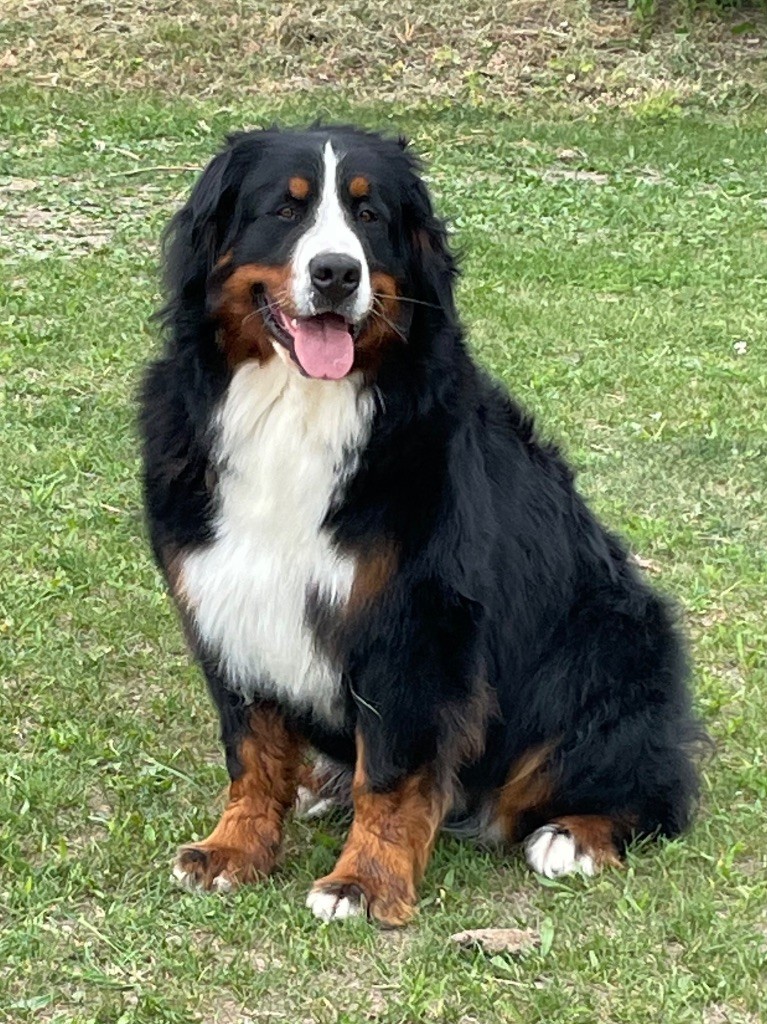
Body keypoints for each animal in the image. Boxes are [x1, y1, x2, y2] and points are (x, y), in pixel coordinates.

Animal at [140, 123, 704, 925]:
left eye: (369, 215)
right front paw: (234, 849)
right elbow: (251, 752)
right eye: (284, 210)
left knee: (652, 791)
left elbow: (394, 772)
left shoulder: (414, 622)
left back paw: (574, 836)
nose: (337, 273)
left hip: (608, 642)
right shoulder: (229, 597)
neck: (295, 414)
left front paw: (364, 882)